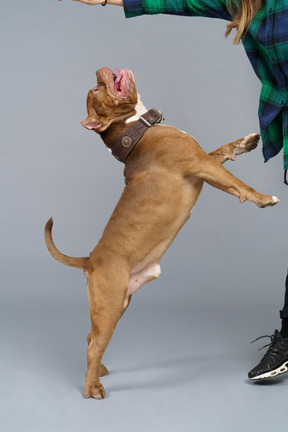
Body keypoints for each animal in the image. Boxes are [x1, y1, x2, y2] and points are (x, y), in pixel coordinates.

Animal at [45, 66, 280, 400]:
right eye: (96, 89)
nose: (98, 72)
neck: (136, 129)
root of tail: (89, 259)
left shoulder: (203, 160)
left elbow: (223, 150)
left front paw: (245, 142)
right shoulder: (200, 164)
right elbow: (237, 183)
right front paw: (263, 199)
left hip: (118, 305)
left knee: (91, 337)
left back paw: (99, 370)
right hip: (110, 305)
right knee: (94, 344)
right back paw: (92, 388)